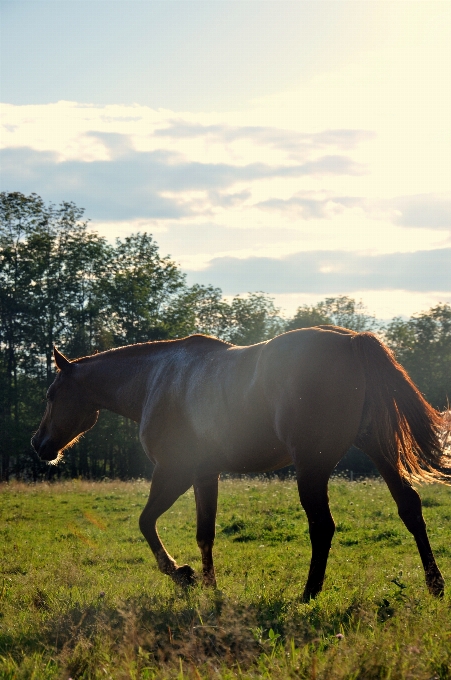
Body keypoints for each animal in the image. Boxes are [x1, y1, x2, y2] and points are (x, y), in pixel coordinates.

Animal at [30, 330, 448, 600]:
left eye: (51, 394)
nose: (39, 444)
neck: (156, 379)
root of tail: (350, 341)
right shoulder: (204, 474)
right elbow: (205, 534)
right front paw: (210, 586)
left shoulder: (173, 471)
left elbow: (146, 523)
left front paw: (182, 575)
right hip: (378, 451)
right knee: (409, 508)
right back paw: (435, 585)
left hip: (312, 468)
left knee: (323, 527)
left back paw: (309, 593)